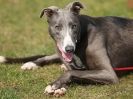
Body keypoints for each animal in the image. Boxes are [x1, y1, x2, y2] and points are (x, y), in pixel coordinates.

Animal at [0, 1, 133, 96]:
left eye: (74, 26)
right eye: (57, 27)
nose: (69, 49)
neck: (81, 39)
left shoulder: (108, 73)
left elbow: (73, 73)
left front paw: (56, 85)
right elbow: (75, 72)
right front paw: (61, 86)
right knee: (48, 56)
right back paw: (31, 64)